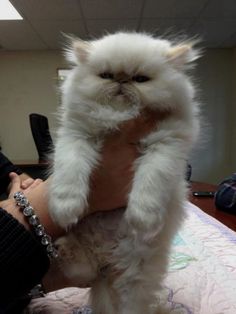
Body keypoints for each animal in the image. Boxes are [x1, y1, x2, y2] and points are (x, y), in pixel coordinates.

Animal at [49, 32, 201, 314]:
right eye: (106, 75)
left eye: (141, 79)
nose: (121, 80)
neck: (119, 116)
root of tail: (106, 263)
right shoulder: (76, 137)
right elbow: (69, 175)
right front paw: (65, 209)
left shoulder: (165, 147)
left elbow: (149, 185)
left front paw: (142, 218)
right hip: (90, 259)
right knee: (83, 270)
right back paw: (63, 247)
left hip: (136, 275)